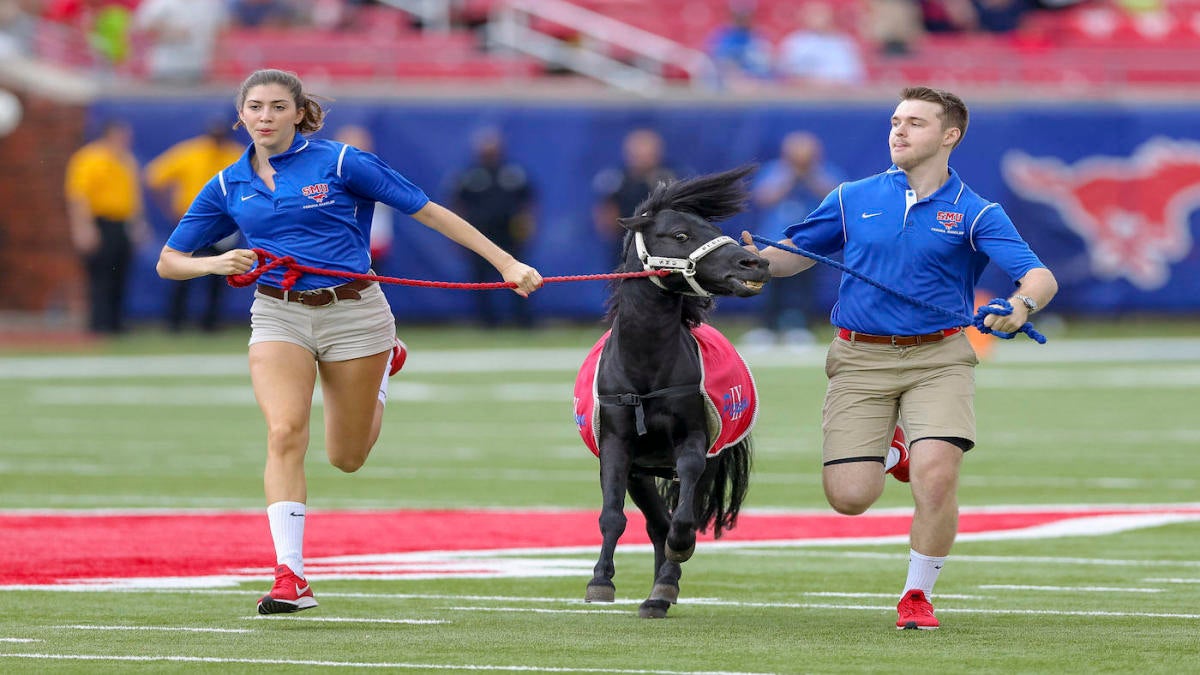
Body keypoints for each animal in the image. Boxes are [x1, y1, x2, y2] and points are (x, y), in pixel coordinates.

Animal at [580, 165, 768, 619]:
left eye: (714, 228)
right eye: (680, 234)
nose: (754, 261)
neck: (645, 368)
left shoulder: (693, 442)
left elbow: (683, 522)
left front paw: (675, 561)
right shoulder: (618, 446)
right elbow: (612, 515)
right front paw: (600, 582)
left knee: (678, 517)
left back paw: (662, 589)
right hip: (643, 471)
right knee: (654, 523)